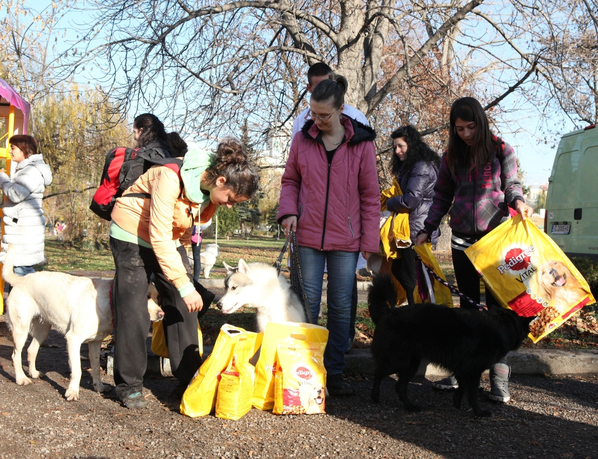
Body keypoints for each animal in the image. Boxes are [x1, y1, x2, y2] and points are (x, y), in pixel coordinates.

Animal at [2, 246, 164, 400]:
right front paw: (72, 392)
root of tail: (20, 279)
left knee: (31, 350)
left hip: (43, 330)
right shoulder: (73, 340)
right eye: (146, 297)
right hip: (21, 330)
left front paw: (99, 387)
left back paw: (34, 373)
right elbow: (77, 370)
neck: (107, 301)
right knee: (15, 355)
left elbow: (96, 367)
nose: (162, 314)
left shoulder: (95, 343)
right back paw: (21, 378)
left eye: (157, 298)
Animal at [370, 274, 536, 418]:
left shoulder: (463, 369)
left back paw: (411, 406)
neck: (503, 325)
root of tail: (388, 312)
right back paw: (375, 396)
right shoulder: (473, 371)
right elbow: (473, 394)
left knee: (399, 386)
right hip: (399, 360)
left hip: (411, 363)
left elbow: (462, 387)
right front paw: (479, 412)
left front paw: (457, 400)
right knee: (378, 373)